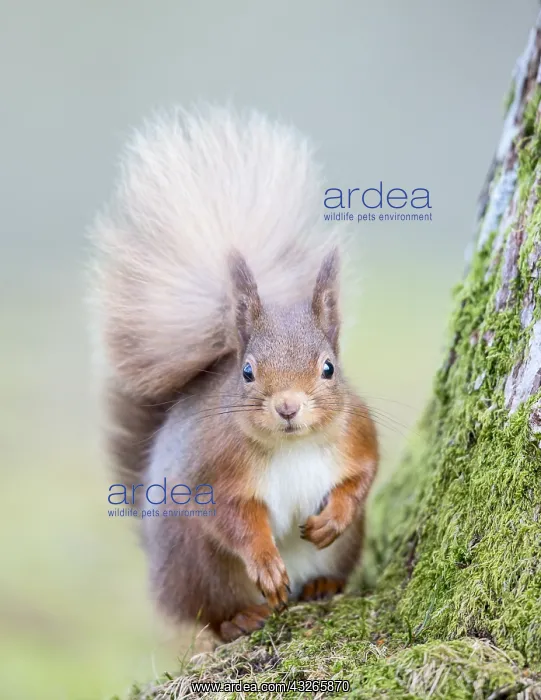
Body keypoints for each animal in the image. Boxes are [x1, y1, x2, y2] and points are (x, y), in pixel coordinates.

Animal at [91, 107, 378, 642]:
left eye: (329, 367)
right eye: (247, 372)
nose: (287, 406)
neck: (292, 445)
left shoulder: (357, 433)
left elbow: (363, 476)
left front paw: (333, 519)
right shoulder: (215, 471)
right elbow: (235, 519)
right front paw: (265, 562)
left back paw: (321, 585)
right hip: (198, 565)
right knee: (208, 616)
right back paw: (242, 616)